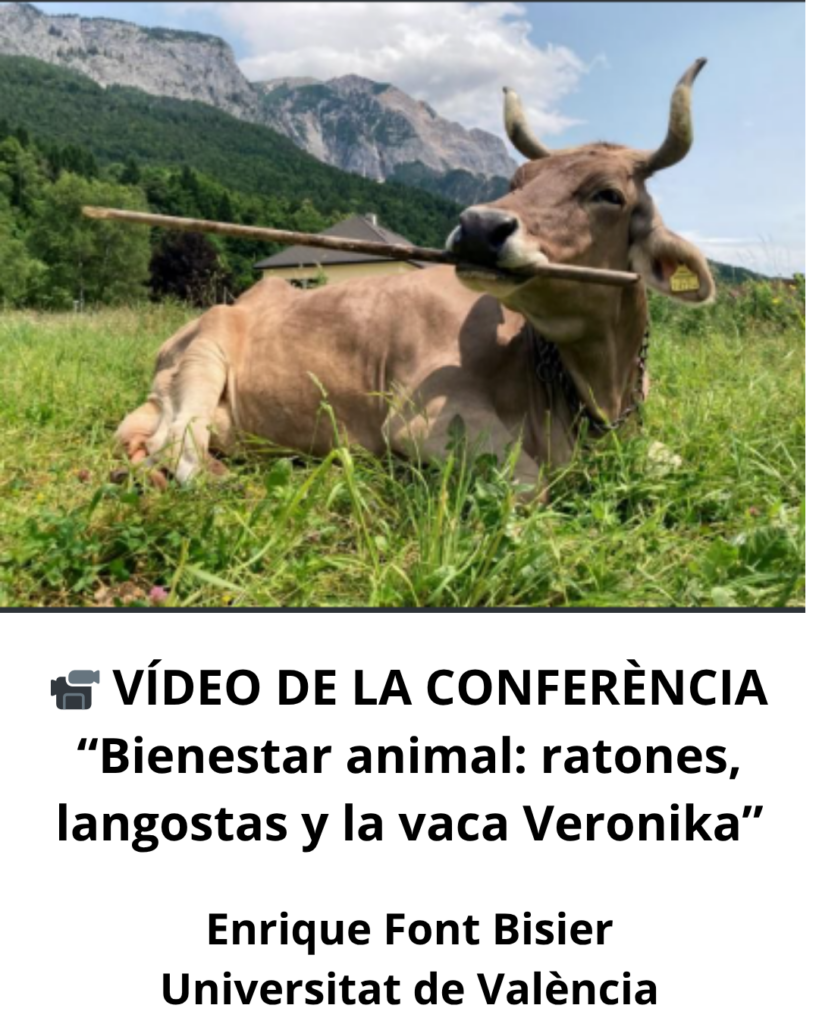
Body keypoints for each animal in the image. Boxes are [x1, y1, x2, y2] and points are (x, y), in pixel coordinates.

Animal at [116, 60, 715, 492]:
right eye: (518, 179)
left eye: (609, 194)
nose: (478, 226)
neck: (595, 391)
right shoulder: (426, 421)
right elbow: (532, 485)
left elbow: (684, 463)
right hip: (205, 353)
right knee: (180, 445)